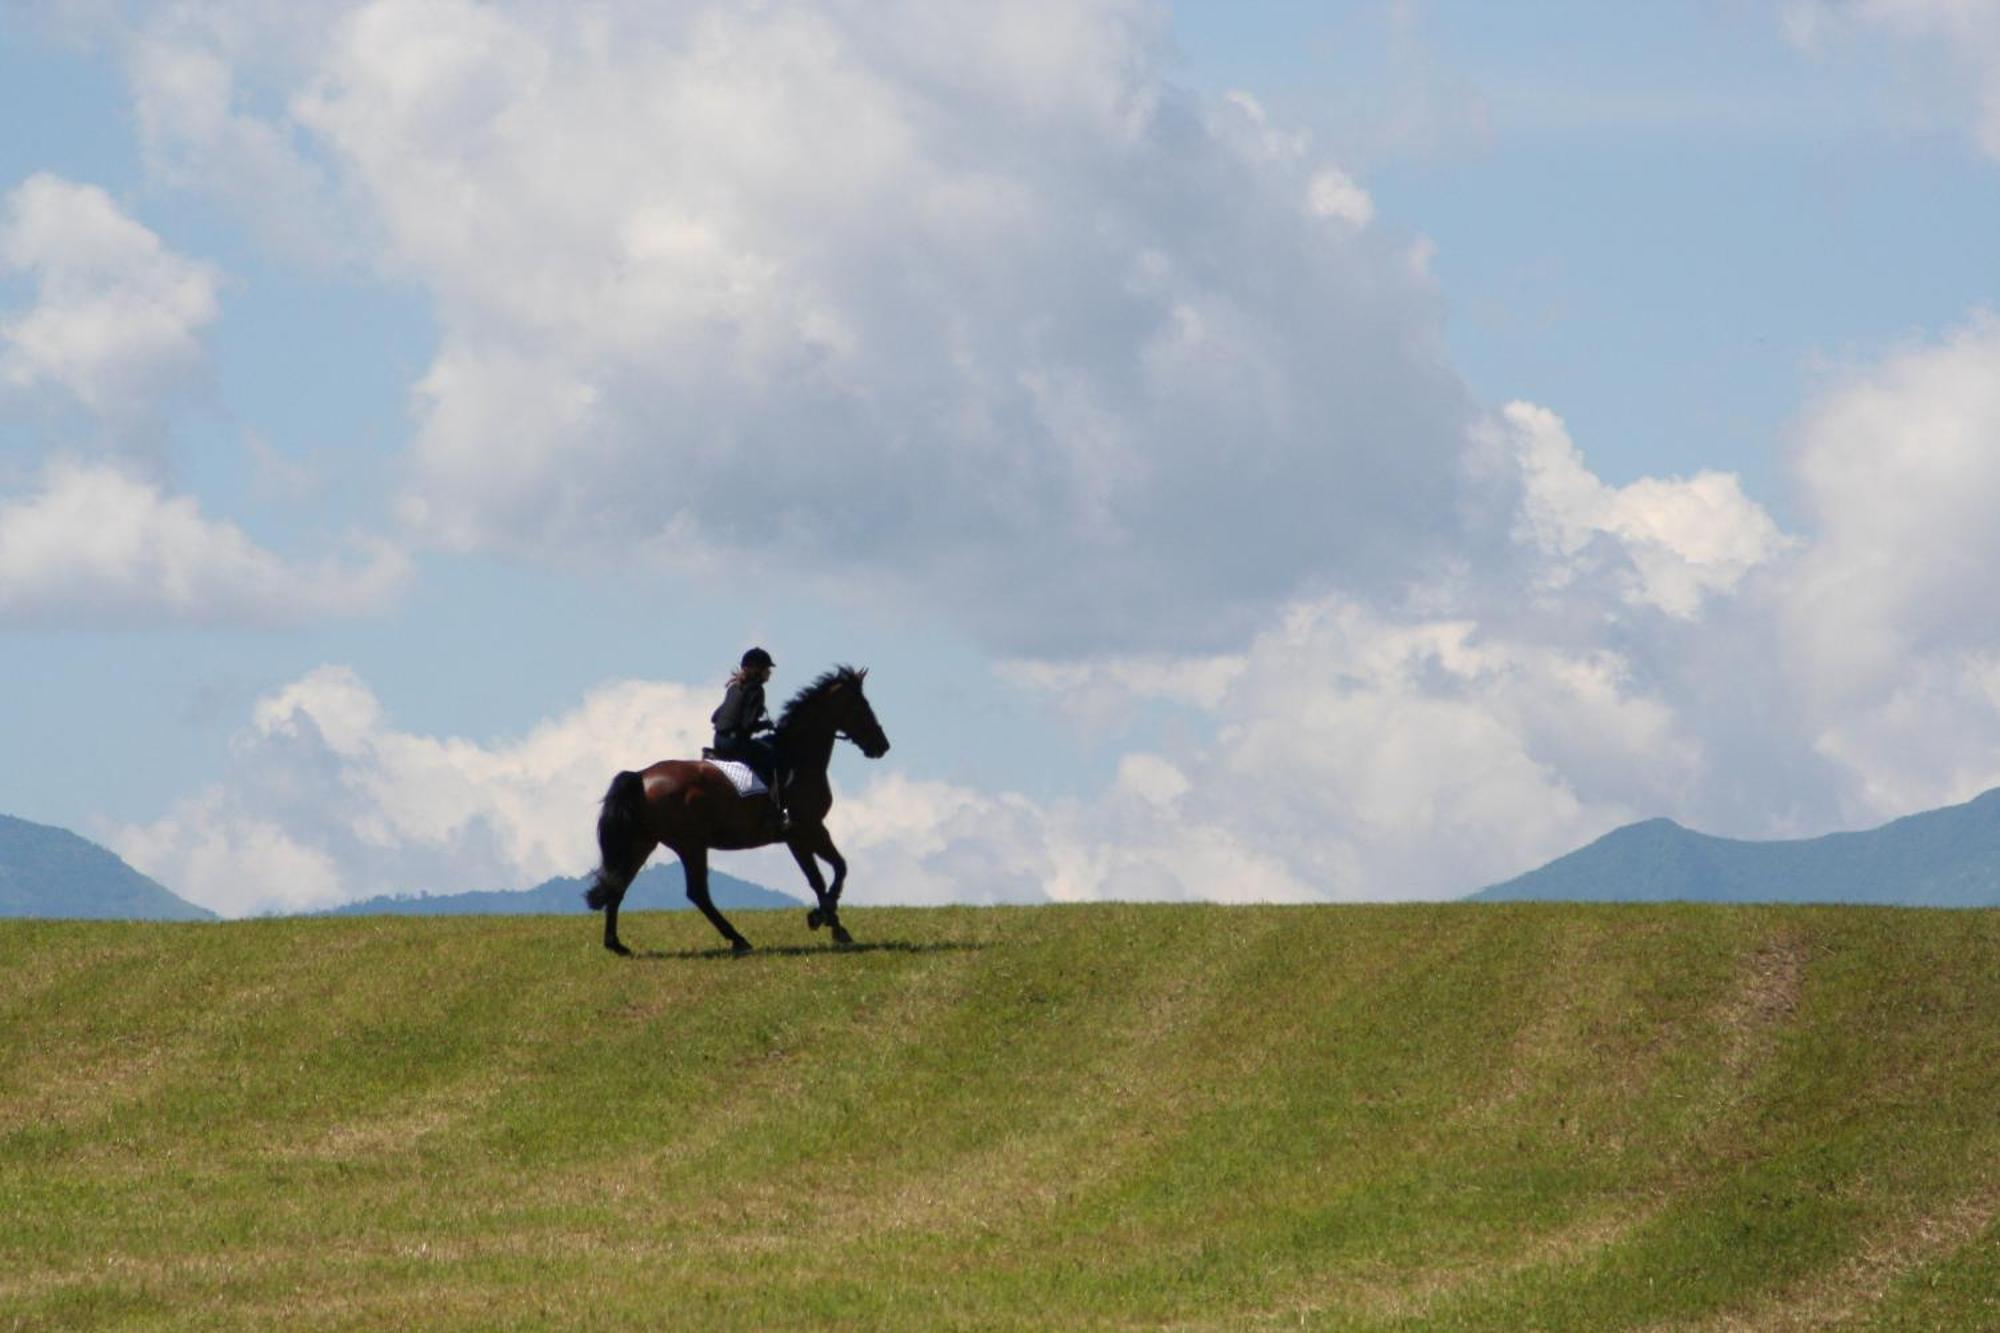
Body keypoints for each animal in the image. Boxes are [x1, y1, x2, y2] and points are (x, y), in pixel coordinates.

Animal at [584, 660, 888, 948]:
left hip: (643, 842)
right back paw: (738, 940)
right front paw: (825, 919)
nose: (882, 746)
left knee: (618, 884)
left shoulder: (799, 835)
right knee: (697, 893)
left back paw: (616, 945)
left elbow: (823, 877)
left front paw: (833, 925)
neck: (798, 757)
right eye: (861, 706)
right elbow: (834, 872)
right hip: (690, 844)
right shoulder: (807, 828)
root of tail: (641, 776)